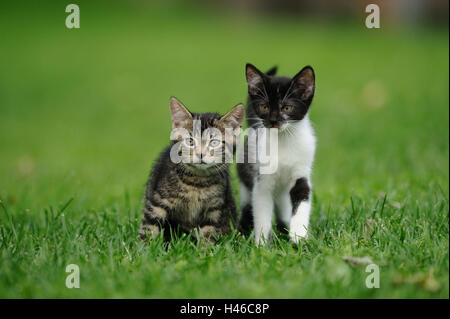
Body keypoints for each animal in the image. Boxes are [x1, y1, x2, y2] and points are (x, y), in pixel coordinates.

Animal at [141, 97, 246, 242]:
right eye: (190, 141)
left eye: (214, 142)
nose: (200, 154)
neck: (197, 183)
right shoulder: (157, 203)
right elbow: (150, 228)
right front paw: (145, 246)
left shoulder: (215, 210)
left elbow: (208, 233)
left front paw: (205, 248)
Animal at [236, 63, 316, 246]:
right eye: (264, 106)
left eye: (286, 107)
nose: (272, 121)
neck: (283, 140)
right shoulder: (261, 182)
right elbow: (262, 213)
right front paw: (261, 245)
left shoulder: (301, 173)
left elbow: (302, 202)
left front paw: (298, 235)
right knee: (247, 206)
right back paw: (242, 231)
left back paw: (285, 228)